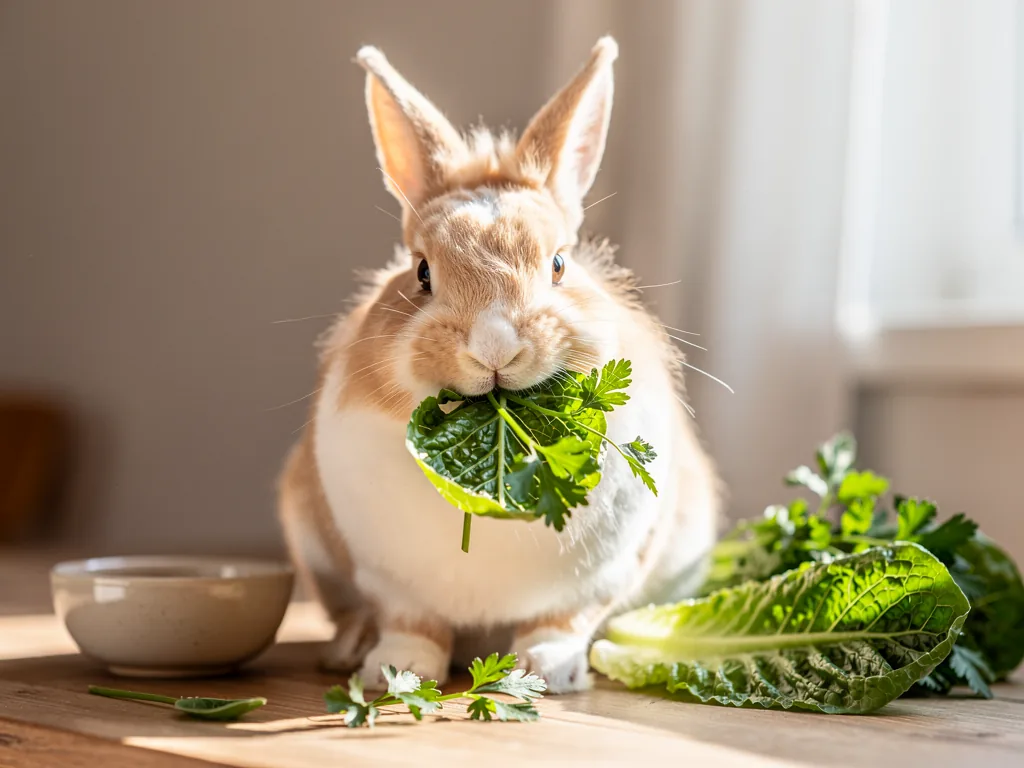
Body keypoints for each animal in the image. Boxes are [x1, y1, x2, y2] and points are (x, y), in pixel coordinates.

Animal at [278, 36, 719, 694]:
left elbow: (561, 622)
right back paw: (352, 648)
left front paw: (545, 672)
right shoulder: (388, 582)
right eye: (421, 272)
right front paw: (398, 669)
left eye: (559, 264)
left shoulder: (604, 574)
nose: (494, 347)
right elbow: (412, 624)